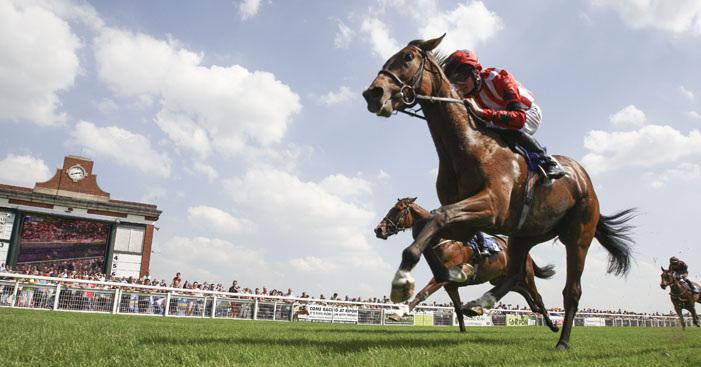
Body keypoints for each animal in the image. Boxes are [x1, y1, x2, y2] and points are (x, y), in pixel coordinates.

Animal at [378, 198, 556, 334]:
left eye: (397, 210)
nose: (378, 229)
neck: (442, 240)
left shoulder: (442, 278)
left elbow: (422, 294)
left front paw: (399, 313)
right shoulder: (450, 285)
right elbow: (457, 307)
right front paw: (463, 330)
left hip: (526, 275)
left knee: (537, 296)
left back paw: (551, 323)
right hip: (498, 278)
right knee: (517, 288)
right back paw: (530, 308)